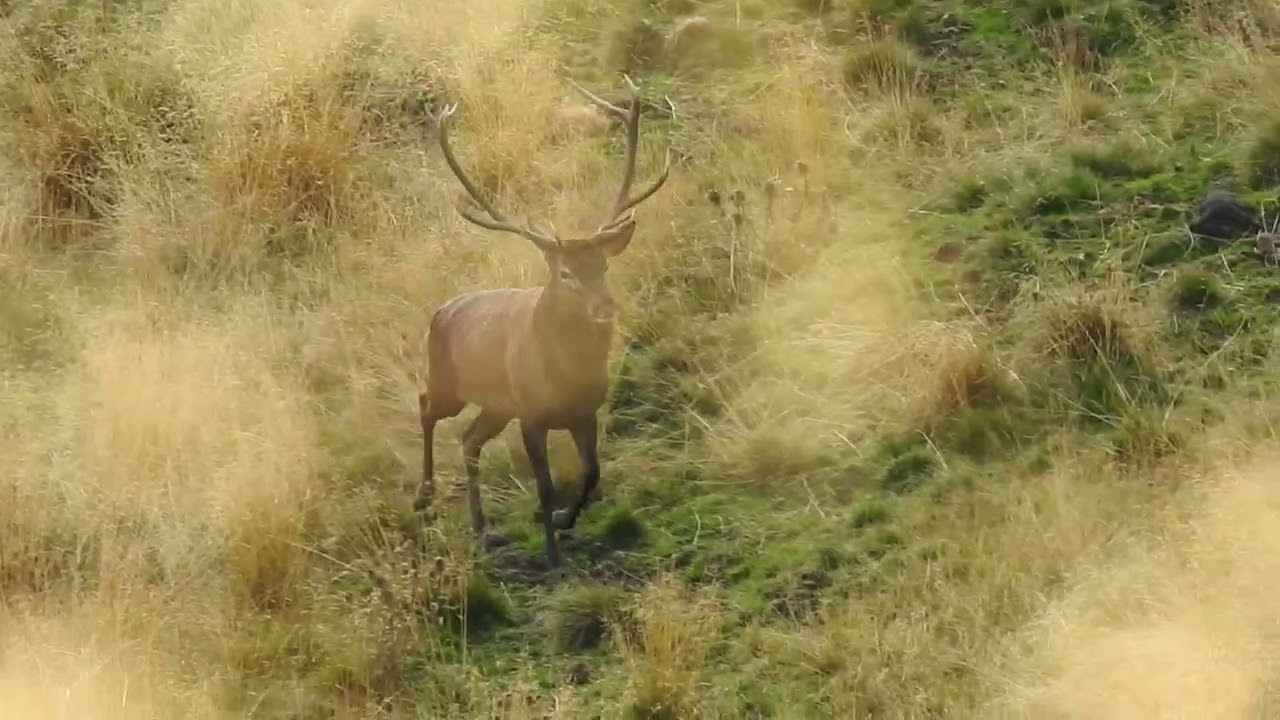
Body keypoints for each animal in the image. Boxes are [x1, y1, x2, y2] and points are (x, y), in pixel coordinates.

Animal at [415, 75, 671, 569]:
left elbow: (591, 474)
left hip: (497, 405)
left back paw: (480, 526)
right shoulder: (531, 414)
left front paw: (564, 520)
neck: (568, 373)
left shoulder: (584, 410)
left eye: (602, 266)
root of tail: (440, 311)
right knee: (426, 407)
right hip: (450, 384)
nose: (604, 307)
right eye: (565, 273)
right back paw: (425, 495)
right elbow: (547, 486)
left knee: (470, 441)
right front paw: (552, 554)